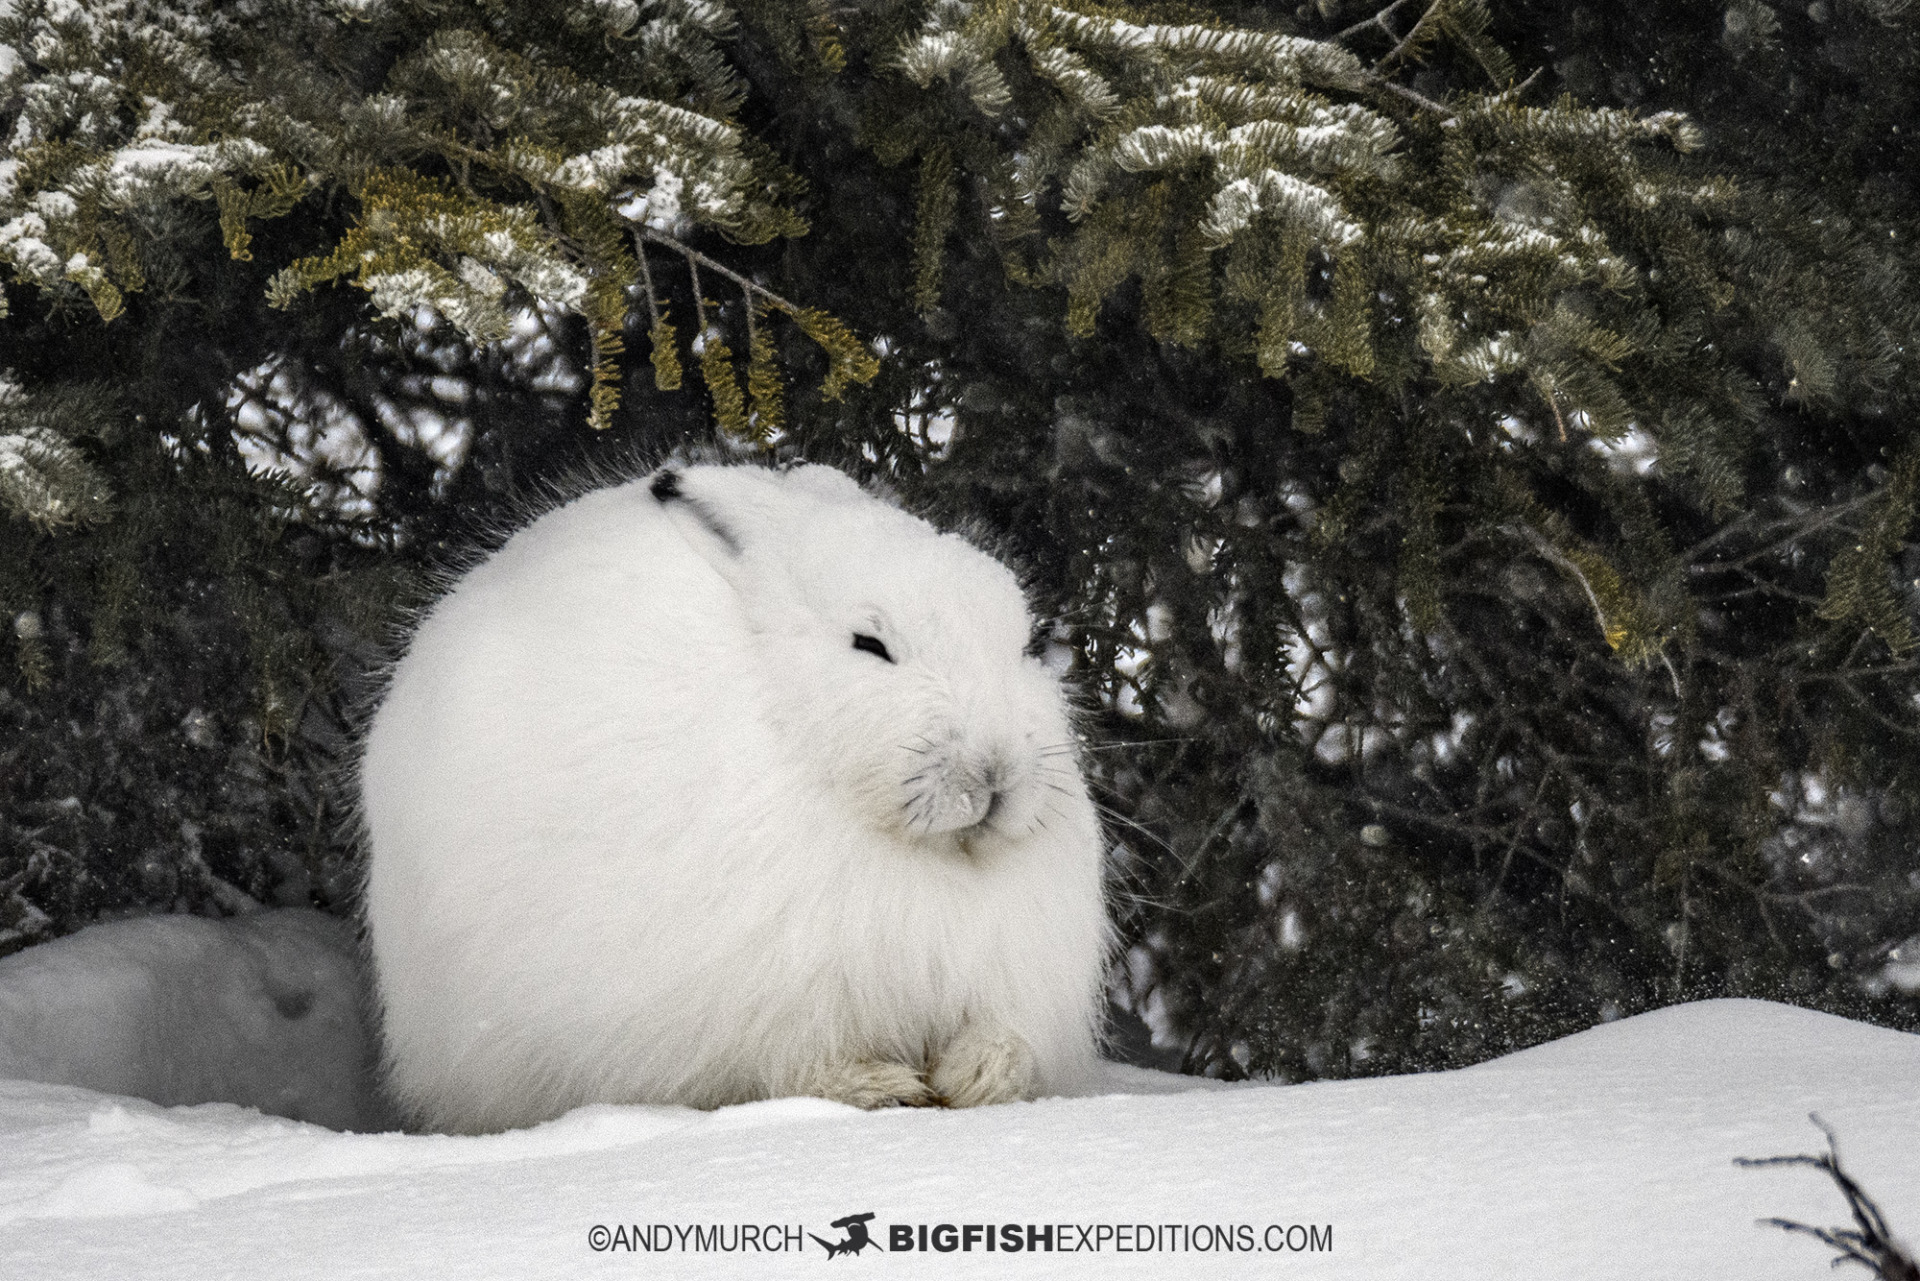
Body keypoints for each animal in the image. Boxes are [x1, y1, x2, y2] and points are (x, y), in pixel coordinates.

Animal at [358, 460, 1111, 1134]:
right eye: (870, 644)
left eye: (1026, 647)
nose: (996, 770)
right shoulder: (762, 1003)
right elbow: (794, 1061)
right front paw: (881, 1087)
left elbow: (1004, 1037)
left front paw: (977, 1077)